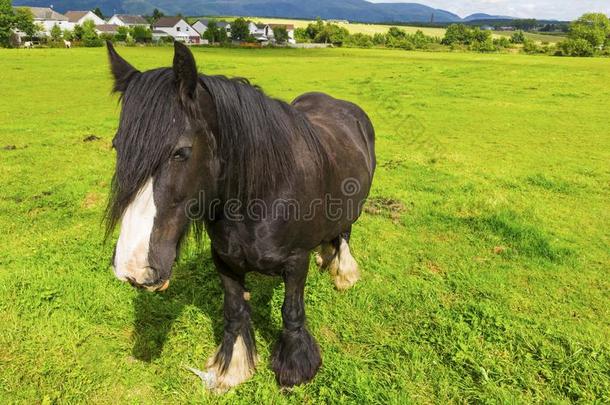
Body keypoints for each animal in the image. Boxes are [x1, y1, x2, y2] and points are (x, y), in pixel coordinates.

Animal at [106, 41, 372, 392]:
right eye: (116, 146)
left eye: (181, 152)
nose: (133, 268)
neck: (262, 193)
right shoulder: (224, 259)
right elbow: (234, 310)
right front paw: (233, 366)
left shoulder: (296, 260)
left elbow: (291, 310)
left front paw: (296, 368)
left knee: (344, 232)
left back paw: (342, 272)